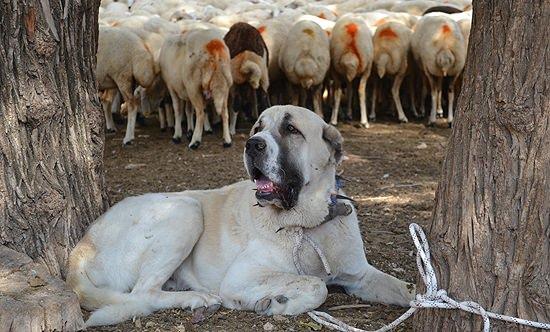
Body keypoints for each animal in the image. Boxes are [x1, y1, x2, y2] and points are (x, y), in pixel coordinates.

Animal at [68, 105, 414, 326]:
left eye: (291, 129)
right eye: (258, 128)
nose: (252, 144)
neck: (309, 222)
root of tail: (80, 249)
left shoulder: (360, 275)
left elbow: (408, 291)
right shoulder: (243, 275)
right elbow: (318, 285)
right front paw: (280, 302)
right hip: (185, 210)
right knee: (143, 294)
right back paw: (198, 298)